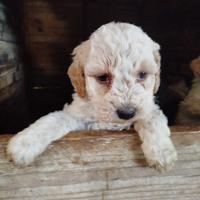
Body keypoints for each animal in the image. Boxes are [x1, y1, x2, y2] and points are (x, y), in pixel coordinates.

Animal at [7, 22, 177, 171]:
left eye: (142, 75)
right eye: (102, 77)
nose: (127, 113)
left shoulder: (149, 108)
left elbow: (152, 121)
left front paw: (162, 152)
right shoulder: (78, 115)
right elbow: (55, 119)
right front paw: (25, 142)